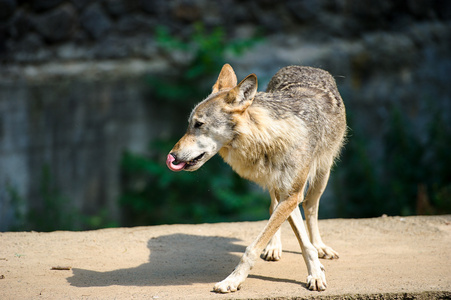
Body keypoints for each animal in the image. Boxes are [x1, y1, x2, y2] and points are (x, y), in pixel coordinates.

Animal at [166, 63, 346, 292]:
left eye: (198, 124)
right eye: (190, 124)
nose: (172, 156)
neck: (267, 138)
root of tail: (304, 66)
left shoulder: (292, 195)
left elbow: (255, 247)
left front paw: (232, 280)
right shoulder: (287, 195)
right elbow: (292, 237)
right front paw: (315, 271)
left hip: (322, 176)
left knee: (310, 208)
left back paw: (320, 246)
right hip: (277, 188)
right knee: (273, 208)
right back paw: (274, 248)